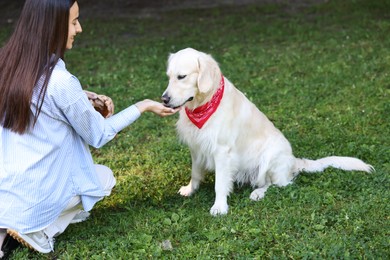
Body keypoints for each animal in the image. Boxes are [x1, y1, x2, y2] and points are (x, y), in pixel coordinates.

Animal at [161, 47, 372, 215]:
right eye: (169, 77)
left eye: (182, 76)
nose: (164, 99)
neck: (203, 104)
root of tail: (293, 161)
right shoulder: (196, 146)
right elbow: (196, 172)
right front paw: (190, 189)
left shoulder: (222, 150)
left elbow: (220, 183)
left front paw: (219, 207)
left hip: (270, 157)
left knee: (280, 184)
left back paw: (258, 193)